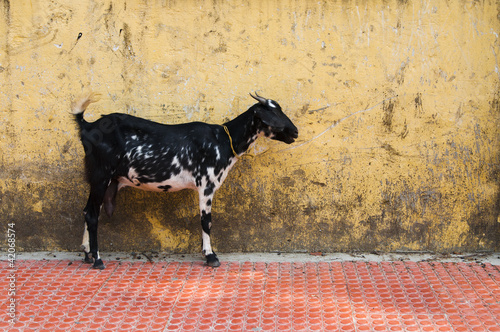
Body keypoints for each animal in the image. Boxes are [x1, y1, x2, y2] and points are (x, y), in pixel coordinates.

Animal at [70, 91, 296, 268]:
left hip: (102, 180)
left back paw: (88, 254)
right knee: (92, 214)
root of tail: (87, 127)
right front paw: (211, 257)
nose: (295, 131)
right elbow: (206, 221)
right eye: (274, 113)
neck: (222, 140)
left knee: (89, 211)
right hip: (101, 175)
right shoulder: (206, 184)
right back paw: (98, 260)